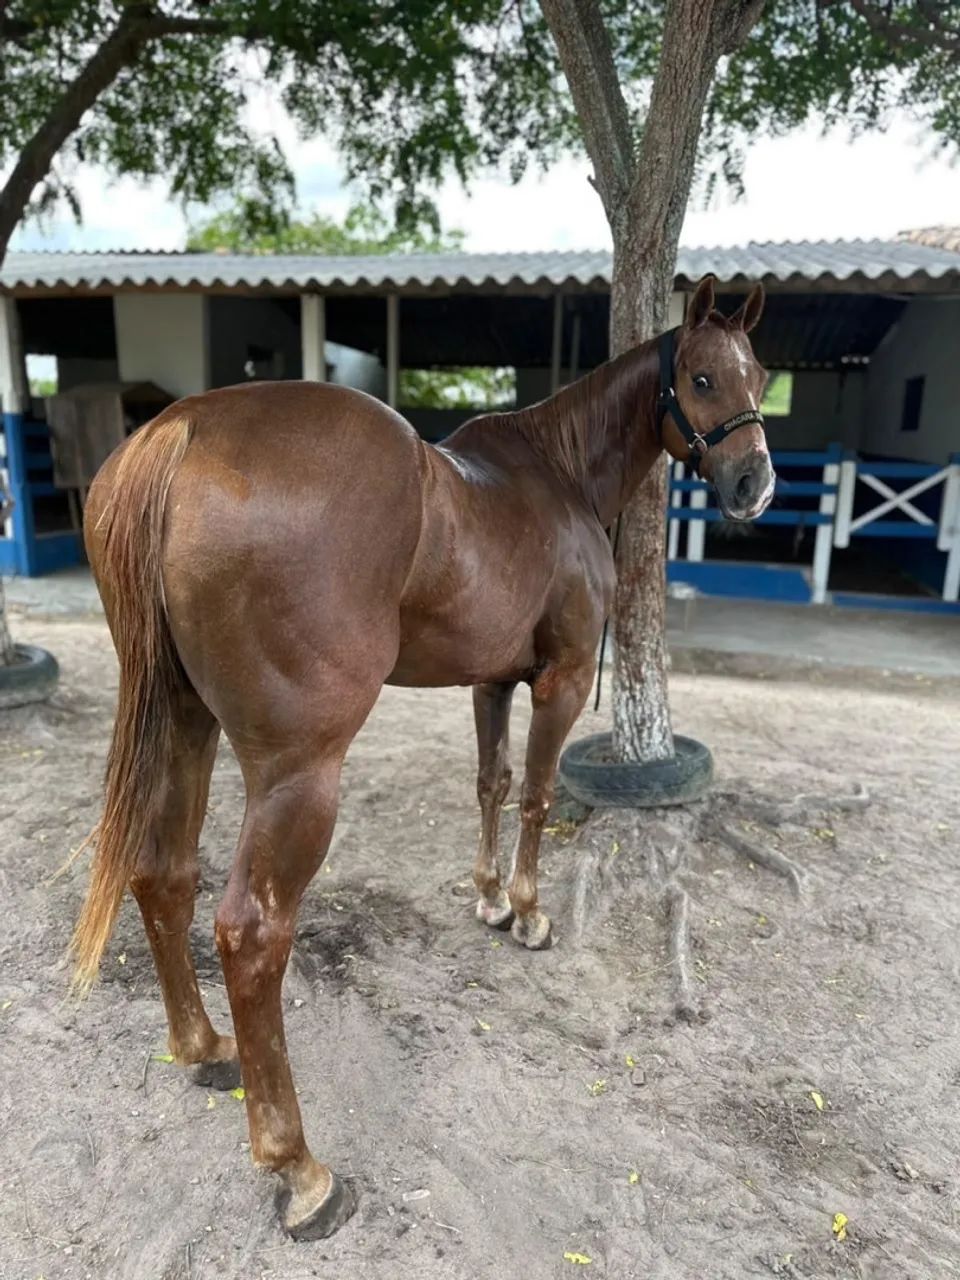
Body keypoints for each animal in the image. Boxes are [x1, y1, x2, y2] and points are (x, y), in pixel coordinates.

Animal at [72, 274, 772, 1240]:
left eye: (760, 375)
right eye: (703, 377)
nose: (754, 483)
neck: (558, 475)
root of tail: (182, 435)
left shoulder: (494, 682)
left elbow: (491, 782)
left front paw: (487, 897)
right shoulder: (557, 682)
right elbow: (536, 794)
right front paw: (528, 912)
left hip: (184, 723)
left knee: (162, 874)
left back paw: (204, 1046)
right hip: (297, 773)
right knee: (251, 932)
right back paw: (300, 1169)